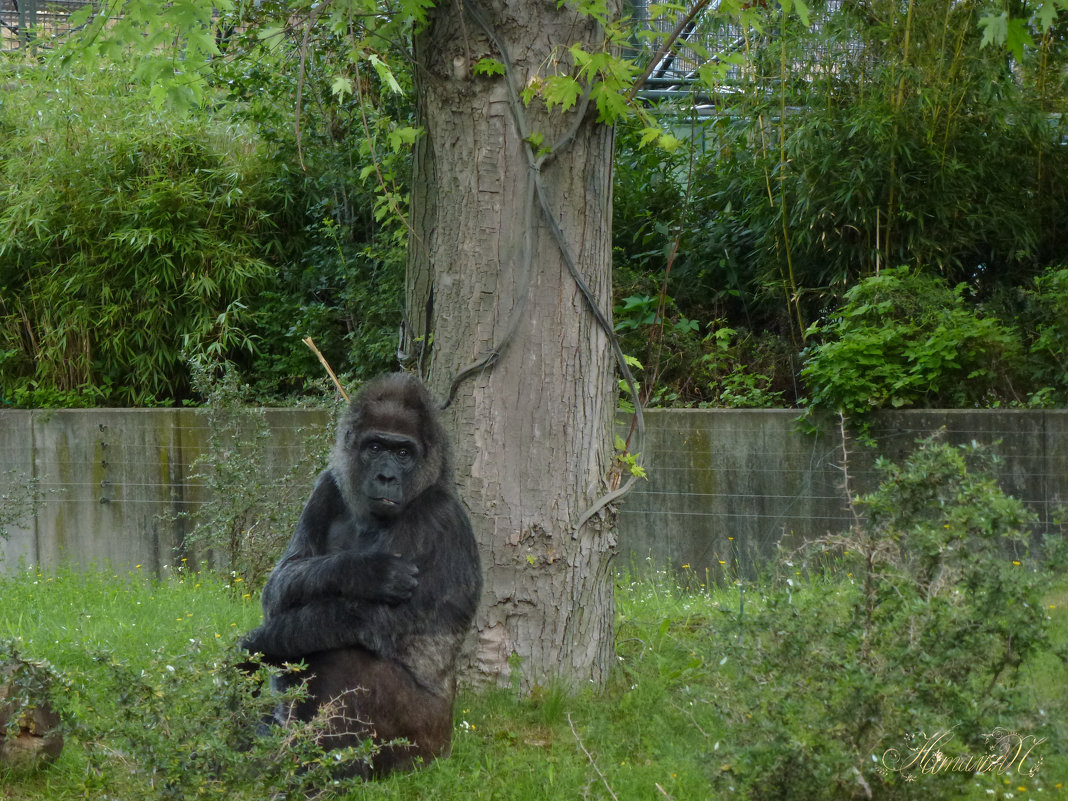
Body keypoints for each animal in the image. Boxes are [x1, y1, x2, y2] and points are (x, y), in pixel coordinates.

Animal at [244, 375, 482, 777]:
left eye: (403, 453)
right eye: (374, 447)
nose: (386, 476)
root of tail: (447, 749)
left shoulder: (439, 516)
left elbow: (375, 621)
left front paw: (256, 644)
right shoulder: (327, 485)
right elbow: (282, 581)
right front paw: (364, 571)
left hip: (426, 747)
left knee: (338, 645)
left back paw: (331, 768)